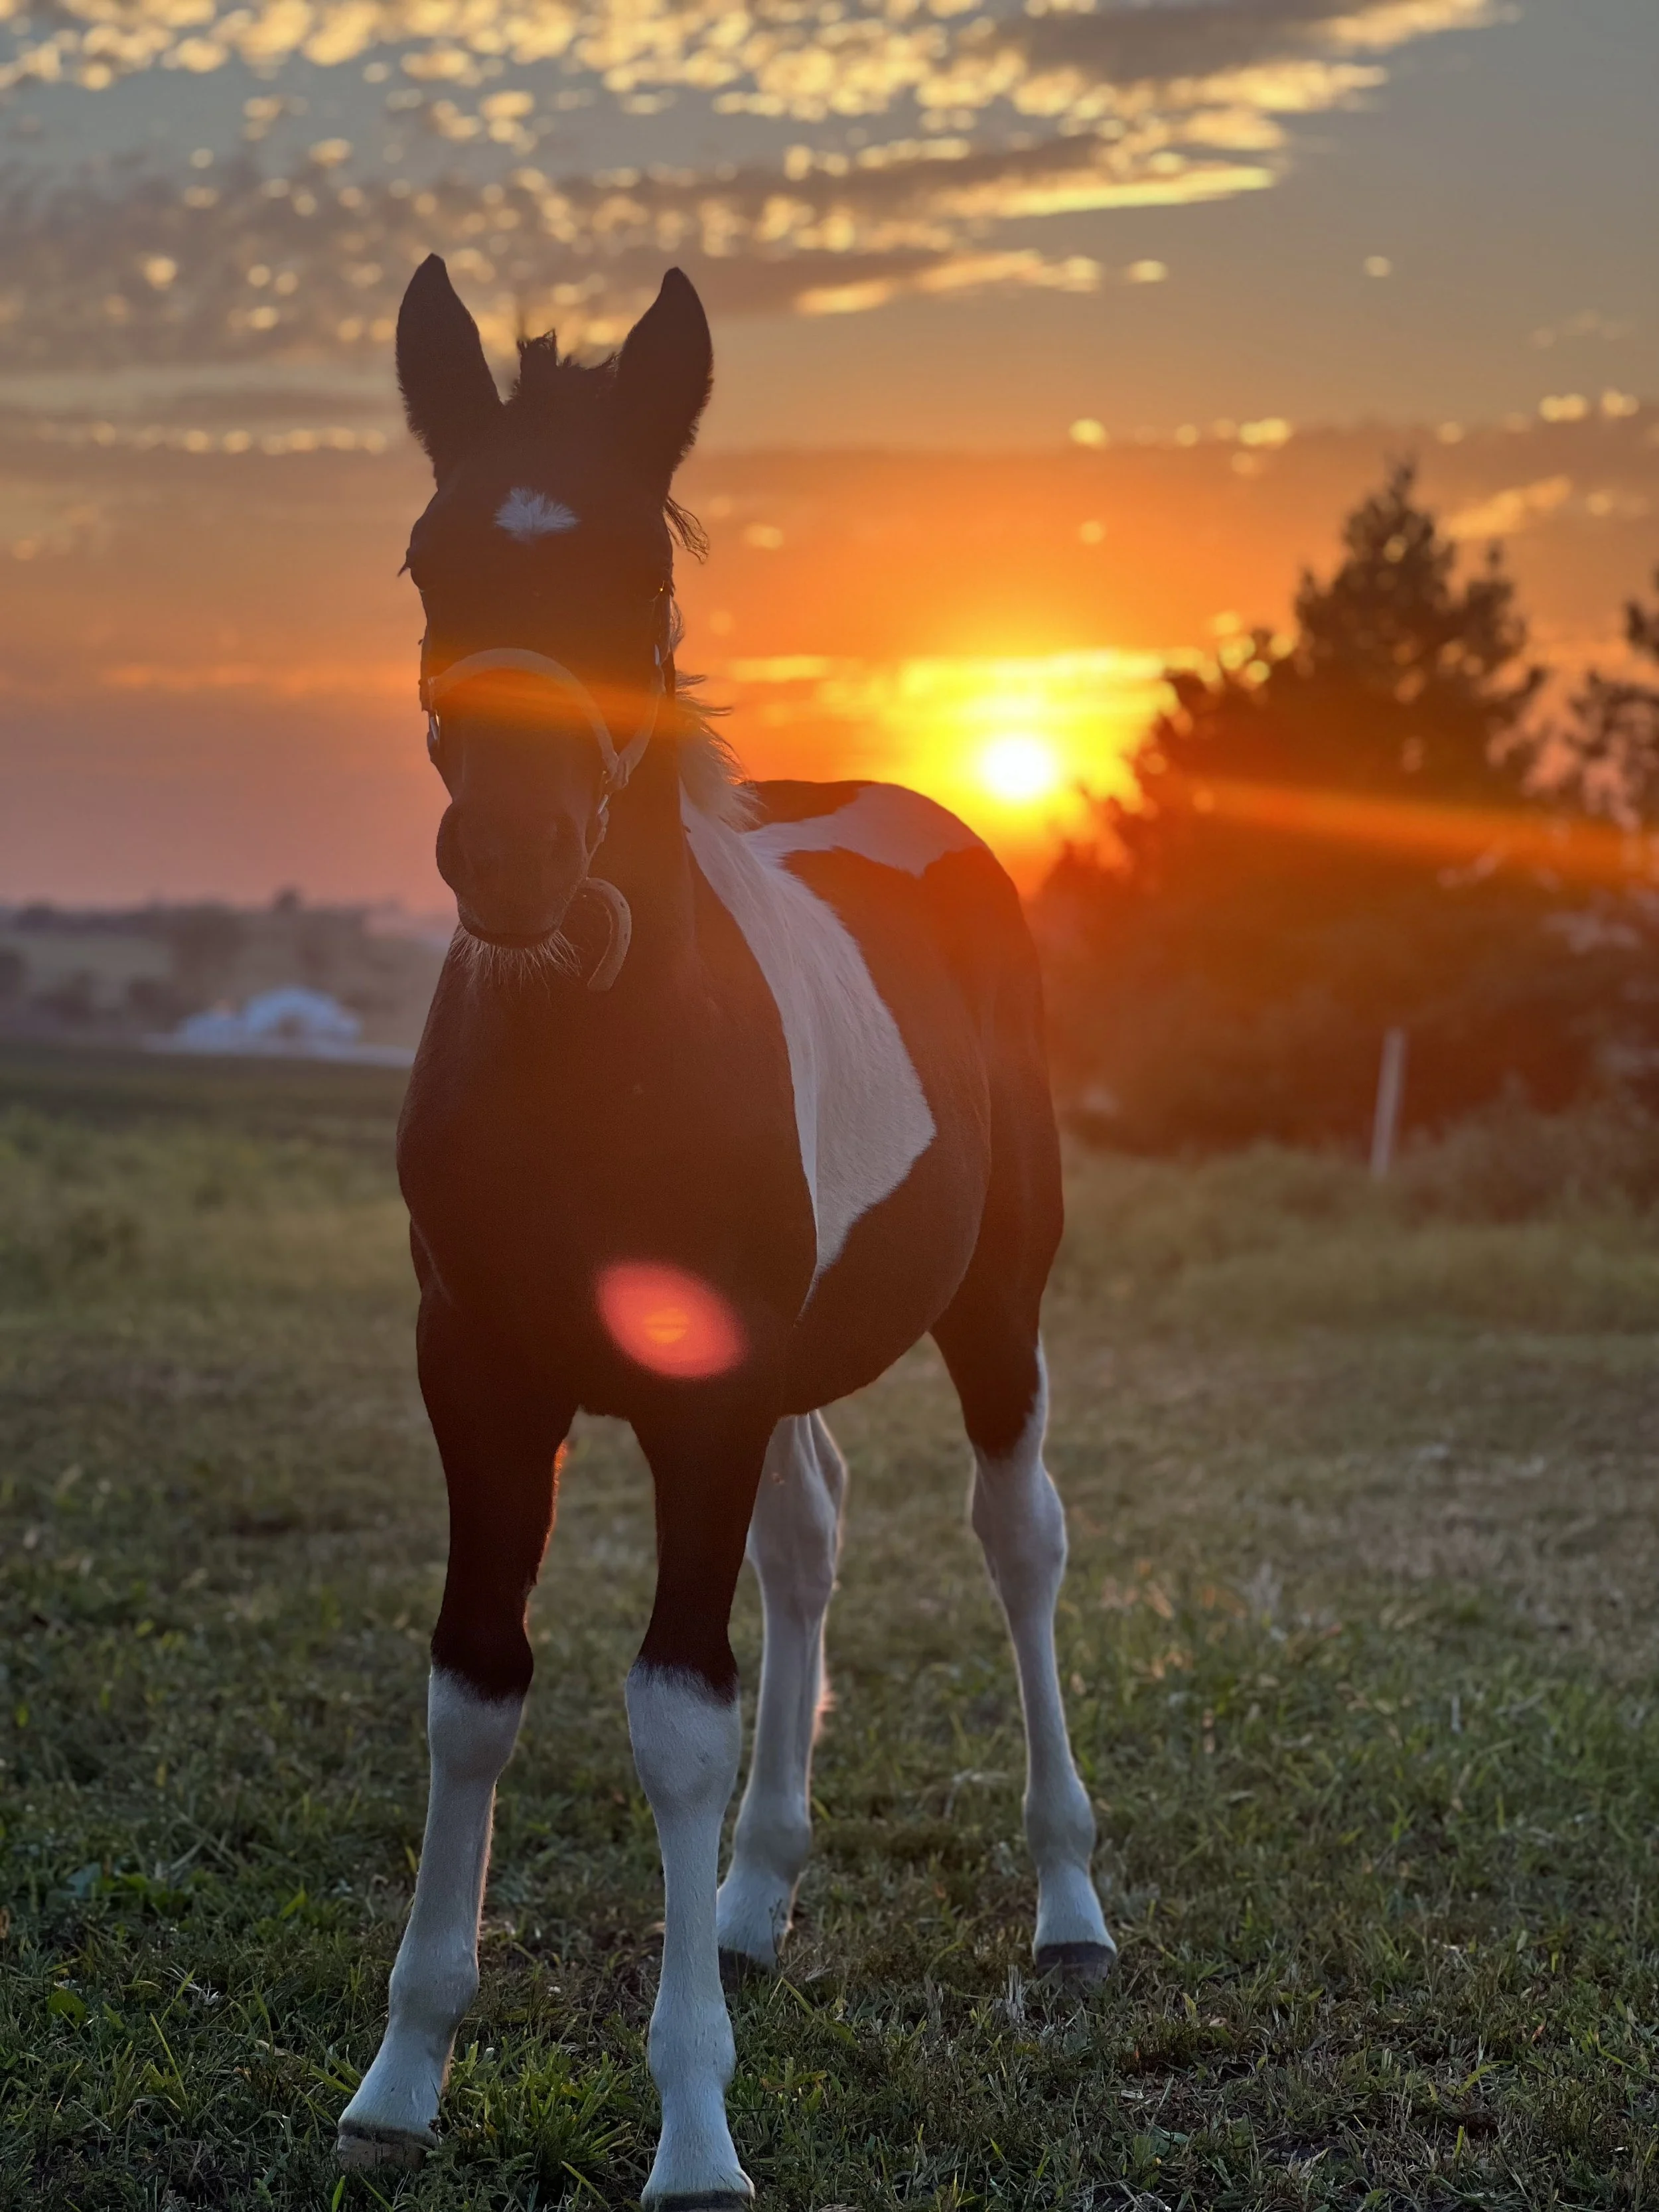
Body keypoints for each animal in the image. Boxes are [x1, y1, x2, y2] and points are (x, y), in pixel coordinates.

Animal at [337, 255, 1115, 2206]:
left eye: (643, 573)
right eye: (430, 561)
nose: (515, 856)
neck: (601, 1059)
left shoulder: (698, 1398)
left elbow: (674, 1712)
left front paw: (694, 2130)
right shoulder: (480, 1375)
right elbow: (475, 1684)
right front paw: (400, 2075)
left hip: (998, 1311)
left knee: (1019, 1540)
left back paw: (1069, 1907)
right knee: (812, 1537)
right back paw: (757, 1905)